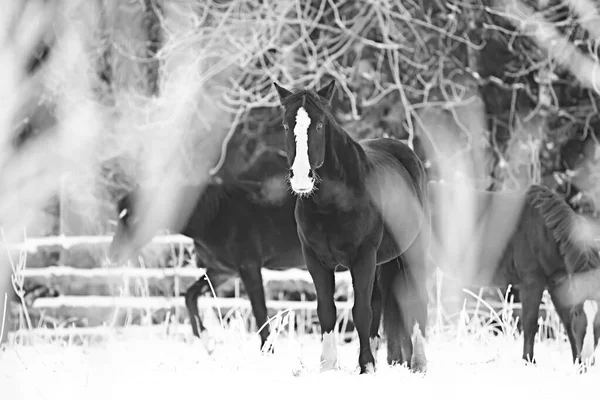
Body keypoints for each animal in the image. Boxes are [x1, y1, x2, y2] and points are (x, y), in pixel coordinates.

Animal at [106, 152, 304, 352]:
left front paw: (267, 351)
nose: (113, 256)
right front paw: (204, 337)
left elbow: (260, 313)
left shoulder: (249, 268)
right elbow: (190, 295)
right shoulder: (222, 271)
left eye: (135, 219)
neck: (215, 217)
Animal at [272, 79, 432, 374]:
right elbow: (327, 311)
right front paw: (328, 365)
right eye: (287, 126)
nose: (301, 178)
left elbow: (361, 312)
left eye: (319, 125)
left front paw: (366, 365)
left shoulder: (362, 258)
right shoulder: (316, 261)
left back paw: (419, 363)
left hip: (412, 252)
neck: (332, 204)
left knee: (417, 301)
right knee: (379, 304)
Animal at [428, 181, 596, 366]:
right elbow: (530, 324)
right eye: (578, 314)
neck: (544, 231)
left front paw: (578, 364)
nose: (589, 360)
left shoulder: (557, 284)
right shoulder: (531, 283)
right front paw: (529, 361)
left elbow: (566, 323)